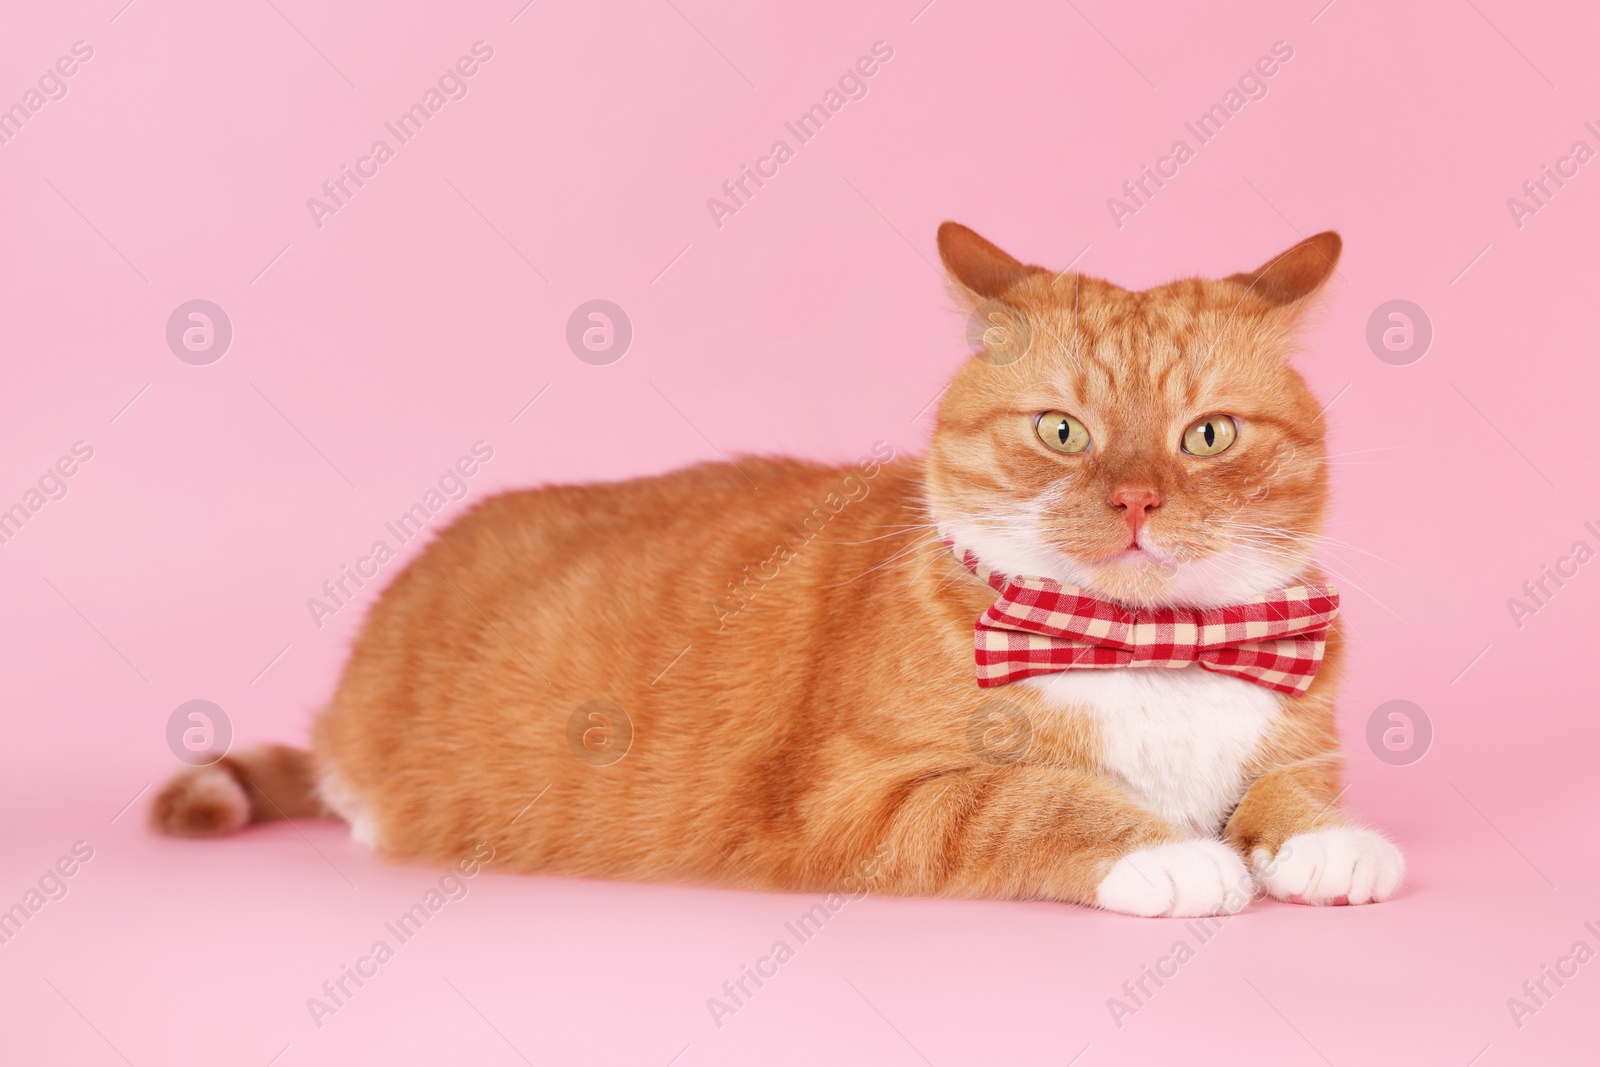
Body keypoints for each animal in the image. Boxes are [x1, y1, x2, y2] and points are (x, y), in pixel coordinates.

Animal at [152, 223, 1401, 921]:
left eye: (1207, 435)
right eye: (1060, 431)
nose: (1137, 498)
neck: (1147, 647)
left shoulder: (1298, 732)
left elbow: (1291, 785)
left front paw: (1319, 838)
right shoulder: (859, 795)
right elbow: (1035, 797)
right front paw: (1173, 853)